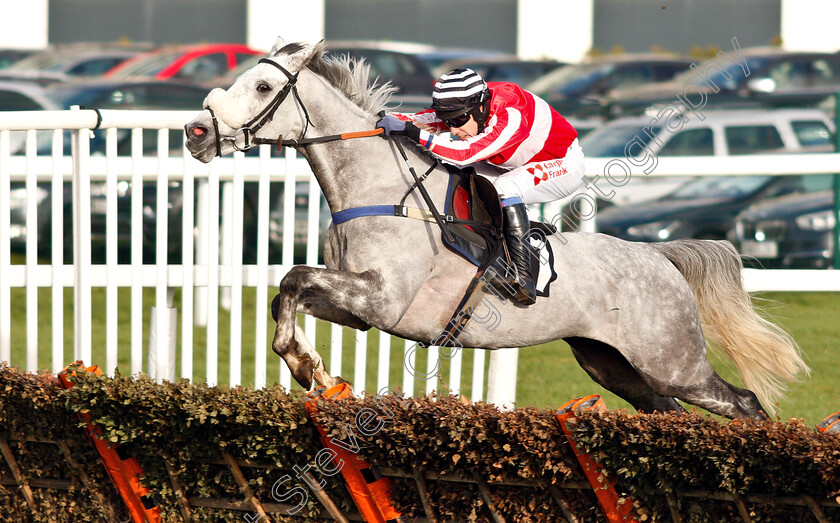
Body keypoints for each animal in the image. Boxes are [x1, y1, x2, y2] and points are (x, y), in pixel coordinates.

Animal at [185, 37, 808, 422]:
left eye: (263, 89)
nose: (197, 132)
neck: (378, 193)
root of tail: (659, 257)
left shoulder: (382, 298)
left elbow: (293, 278)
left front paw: (304, 365)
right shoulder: (356, 306)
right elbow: (289, 291)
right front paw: (308, 364)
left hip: (674, 363)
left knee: (745, 404)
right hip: (615, 364)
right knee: (668, 413)